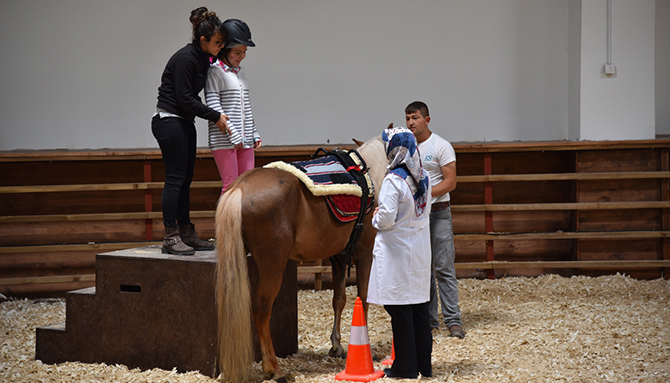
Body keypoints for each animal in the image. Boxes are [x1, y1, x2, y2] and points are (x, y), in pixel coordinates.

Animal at [215, 136, 384, 382]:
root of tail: (240, 186)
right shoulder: (364, 253)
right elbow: (363, 297)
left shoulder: (339, 257)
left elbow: (339, 299)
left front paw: (337, 346)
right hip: (273, 264)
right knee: (261, 308)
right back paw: (274, 368)